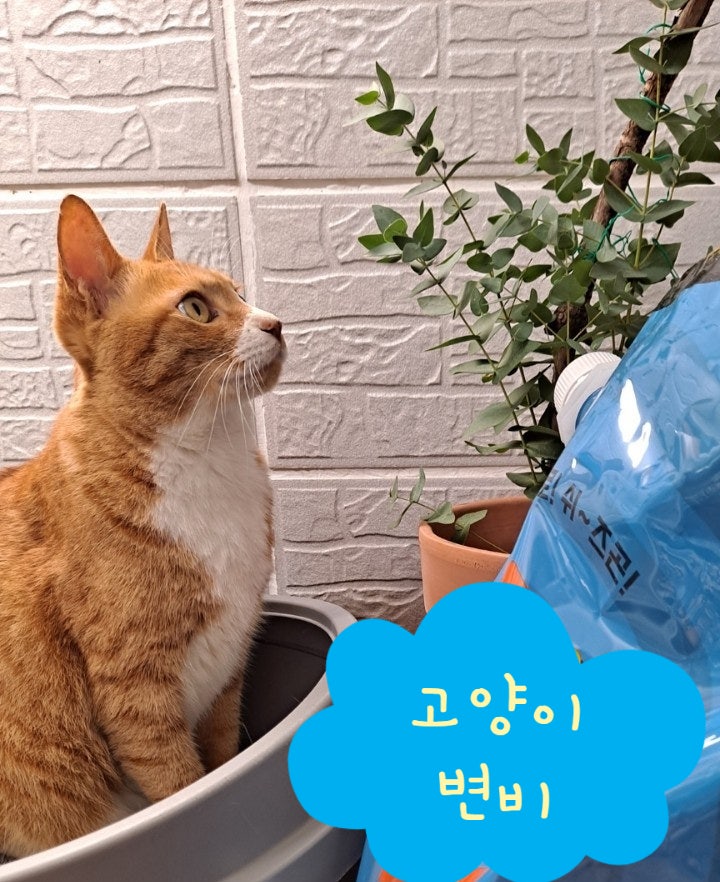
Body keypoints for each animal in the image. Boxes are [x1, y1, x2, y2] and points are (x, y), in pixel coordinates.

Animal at [0, 195, 284, 858]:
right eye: (196, 308)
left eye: (239, 292)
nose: (276, 322)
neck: (210, 460)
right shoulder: (135, 694)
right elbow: (185, 789)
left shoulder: (228, 673)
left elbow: (225, 759)